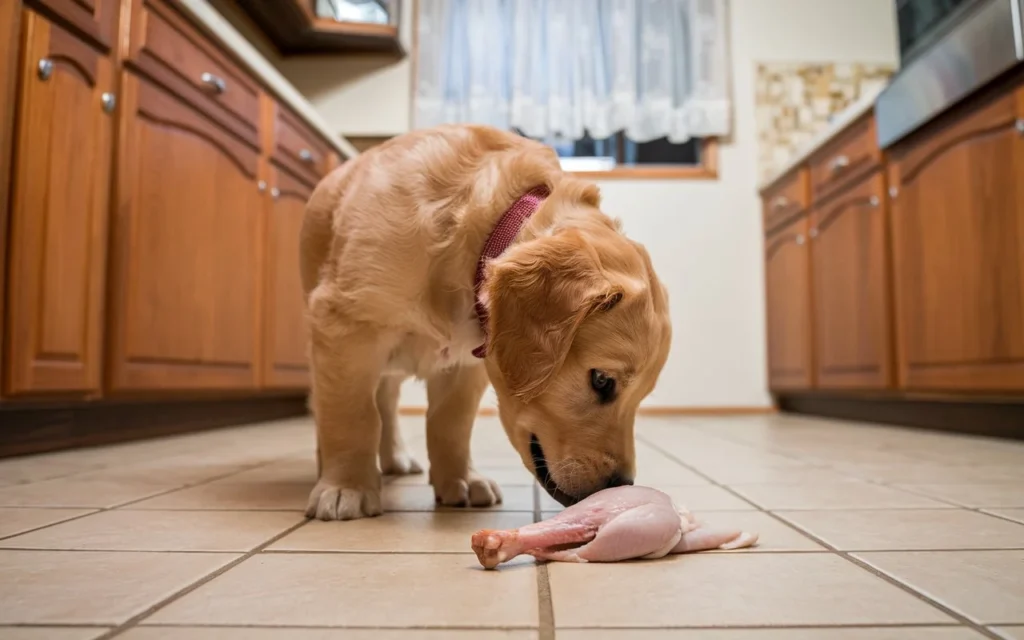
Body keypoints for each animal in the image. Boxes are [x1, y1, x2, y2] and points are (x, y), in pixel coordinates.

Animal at [299, 123, 671, 520]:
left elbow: (450, 422)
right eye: (601, 381)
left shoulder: (465, 365)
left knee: (386, 396)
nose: (622, 484)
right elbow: (353, 414)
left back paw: (396, 458)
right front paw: (346, 486)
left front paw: (460, 480)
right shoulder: (347, 326)